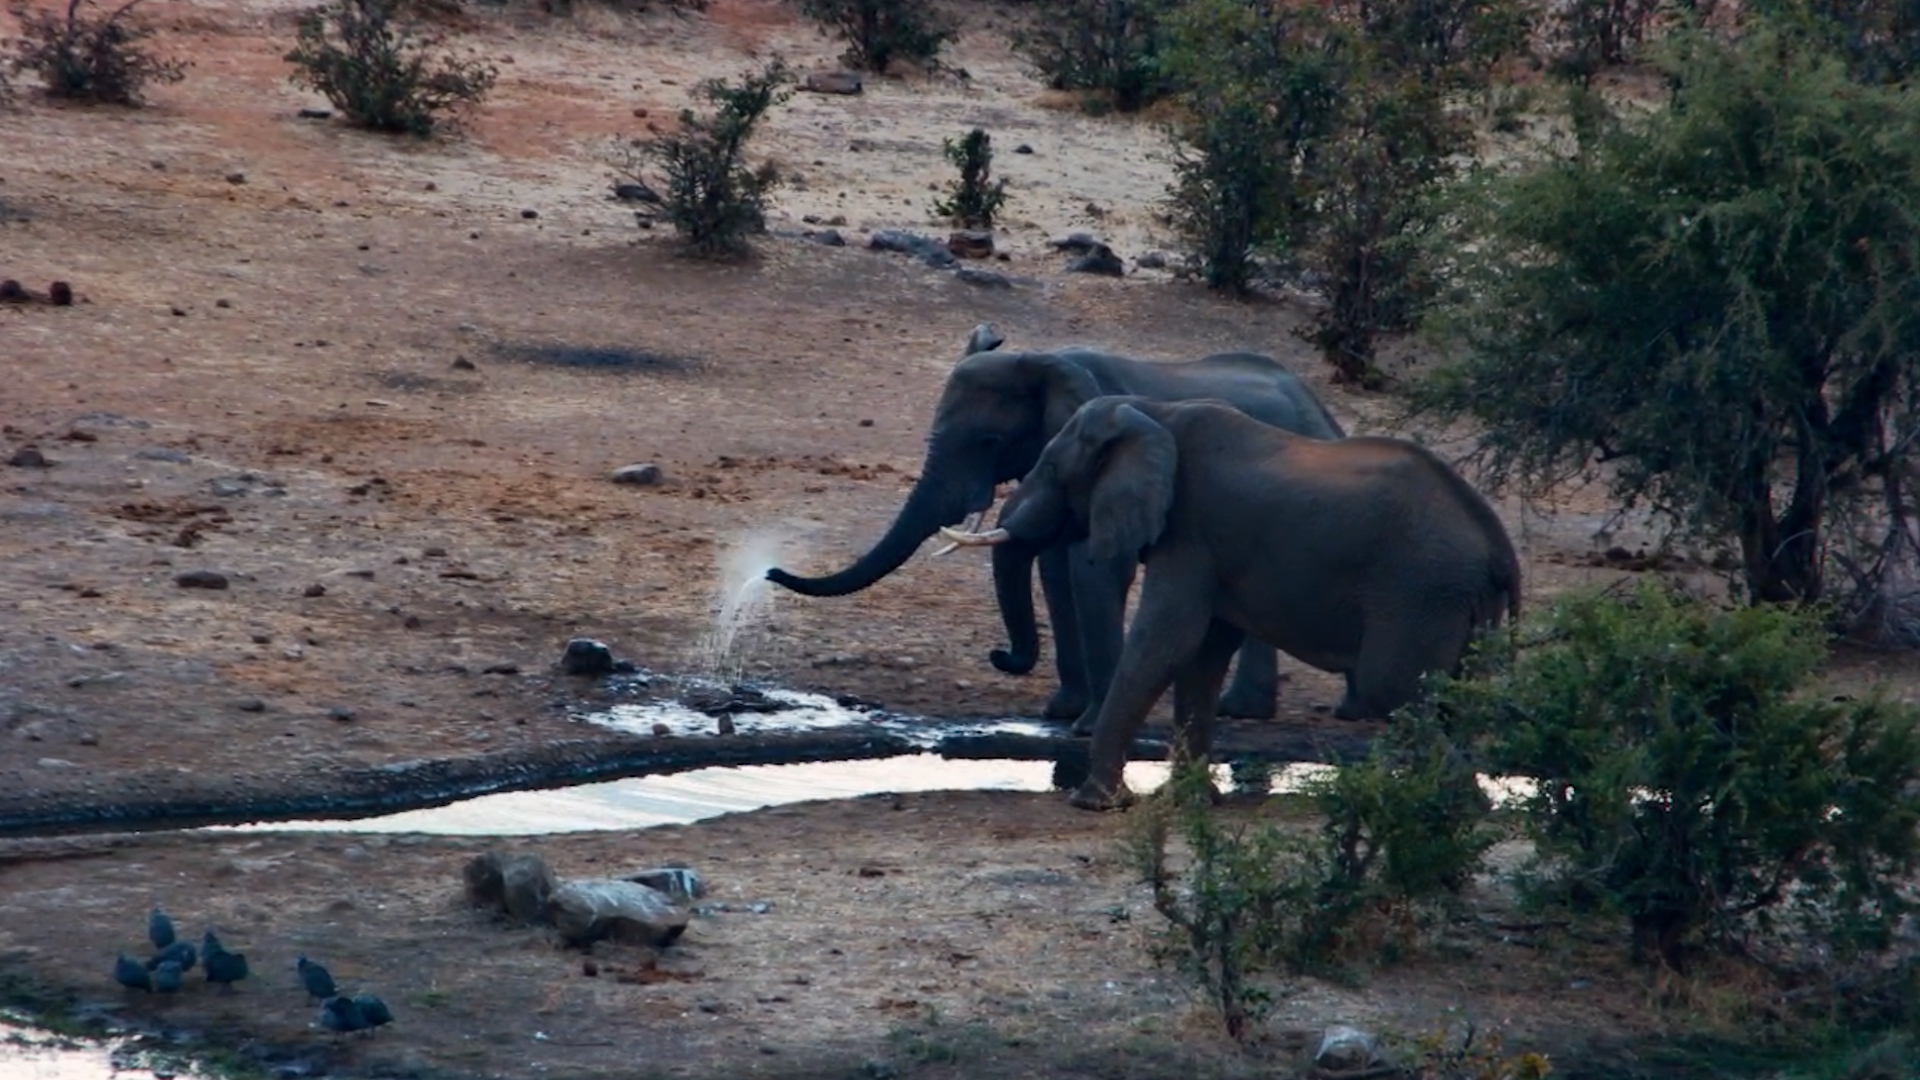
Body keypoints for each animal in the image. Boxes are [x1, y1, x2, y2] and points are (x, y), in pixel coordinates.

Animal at [765, 325, 1347, 729]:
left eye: (988, 443)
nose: (1001, 656)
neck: (1047, 361)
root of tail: (1324, 412)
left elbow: (1089, 570)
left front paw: (1084, 725)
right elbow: (1052, 569)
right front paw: (1061, 713)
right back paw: (1241, 711)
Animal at [939, 396, 1520, 811]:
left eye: (1053, 468)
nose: (999, 655)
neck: (1155, 414)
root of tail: (1497, 544)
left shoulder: (1189, 532)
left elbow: (1168, 641)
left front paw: (1097, 804)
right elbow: (1202, 656)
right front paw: (1191, 802)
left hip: (1420, 593)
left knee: (1394, 689)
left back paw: (1454, 811)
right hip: (1459, 603)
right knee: (1450, 701)